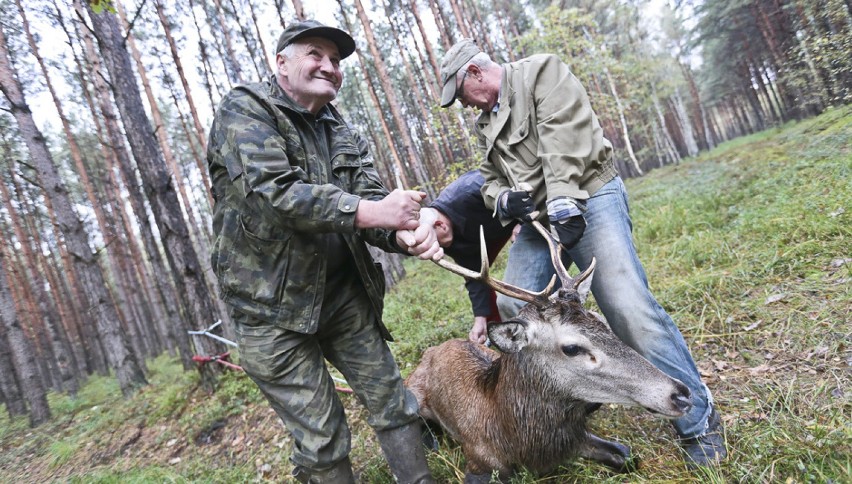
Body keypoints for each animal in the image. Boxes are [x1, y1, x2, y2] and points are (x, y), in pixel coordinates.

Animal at [404, 221, 692, 482]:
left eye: (602, 320)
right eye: (572, 348)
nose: (681, 394)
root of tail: (433, 349)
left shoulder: (575, 439)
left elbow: (628, 457)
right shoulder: (478, 460)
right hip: (414, 393)